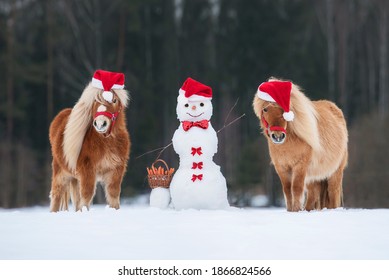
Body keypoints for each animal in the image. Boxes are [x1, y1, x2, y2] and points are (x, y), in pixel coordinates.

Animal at [48, 83, 130, 212]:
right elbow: (87, 194)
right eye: (95, 101)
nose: (100, 124)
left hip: (75, 178)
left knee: (76, 199)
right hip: (61, 173)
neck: (105, 141)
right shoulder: (87, 170)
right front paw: (84, 211)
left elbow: (113, 193)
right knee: (57, 194)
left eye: (114, 100)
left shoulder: (116, 169)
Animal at [252, 77, 348, 211]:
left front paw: (296, 210)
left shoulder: (300, 166)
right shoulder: (281, 168)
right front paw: (290, 210)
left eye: (284, 109)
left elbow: (296, 189)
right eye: (265, 109)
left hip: (335, 172)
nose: (278, 136)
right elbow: (287, 190)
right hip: (314, 177)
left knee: (333, 193)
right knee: (313, 195)